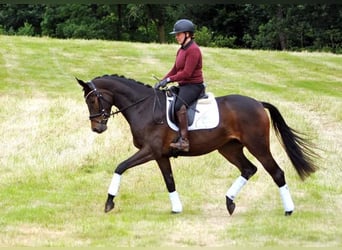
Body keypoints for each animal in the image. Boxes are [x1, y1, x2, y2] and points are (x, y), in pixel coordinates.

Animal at [75, 74, 318, 217]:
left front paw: (109, 203)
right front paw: (176, 208)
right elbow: (169, 181)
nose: (97, 128)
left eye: (93, 100)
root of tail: (258, 103)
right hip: (229, 148)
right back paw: (229, 202)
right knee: (249, 169)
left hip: (257, 145)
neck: (143, 107)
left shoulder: (149, 151)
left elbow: (120, 167)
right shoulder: (160, 155)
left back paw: (288, 210)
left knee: (276, 172)